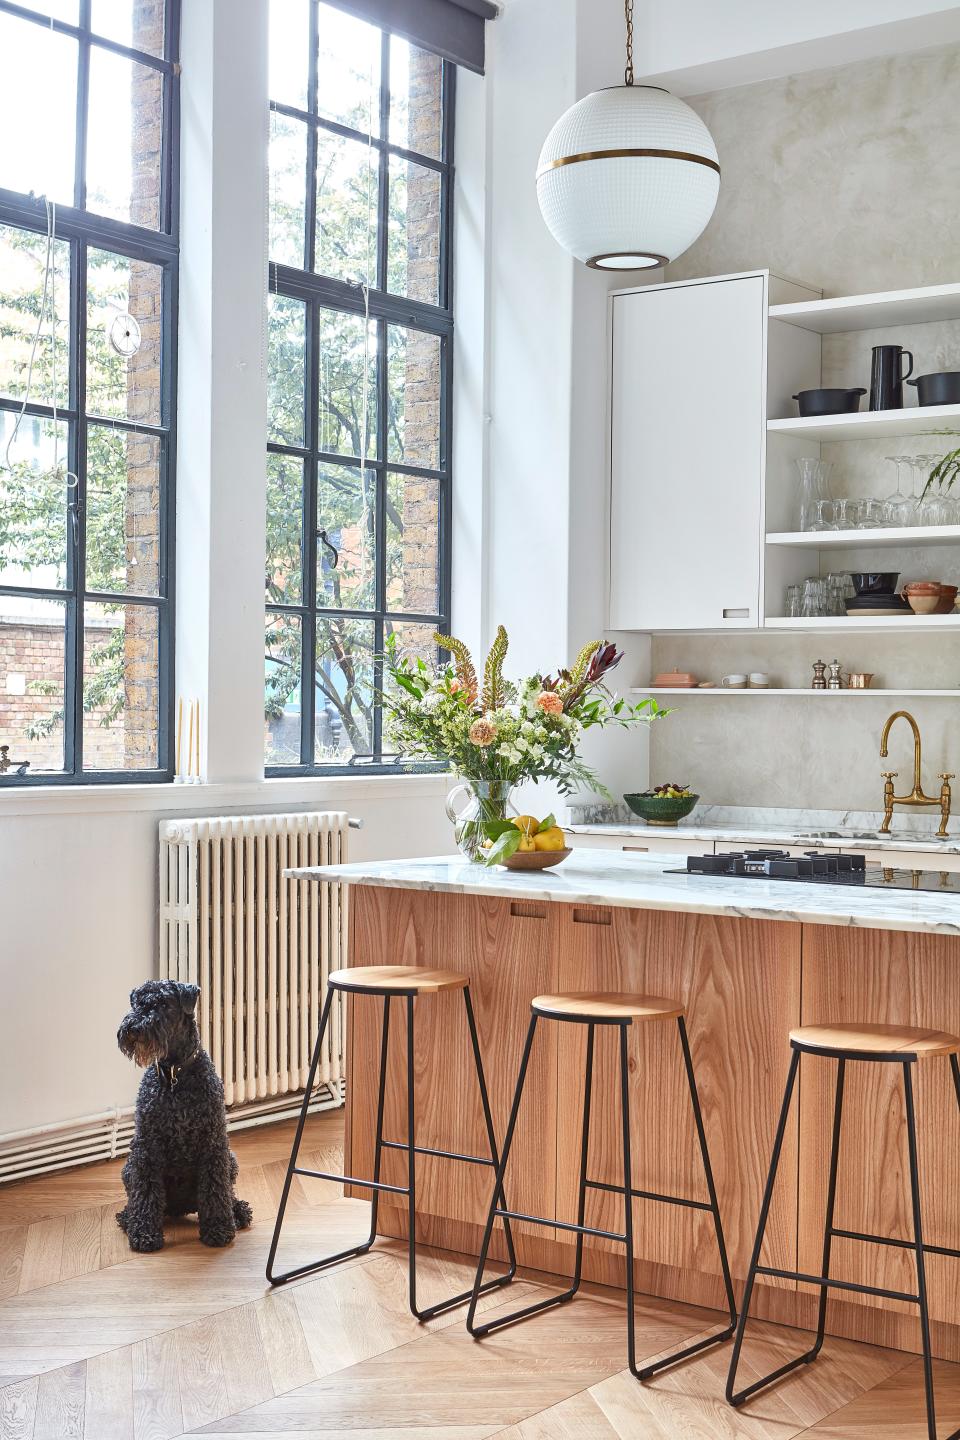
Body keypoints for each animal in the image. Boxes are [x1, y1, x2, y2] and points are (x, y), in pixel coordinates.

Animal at [116, 979, 253, 1249]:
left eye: (164, 1004)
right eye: (138, 1003)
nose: (134, 1028)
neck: (174, 1077)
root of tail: (179, 1208)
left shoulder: (212, 1143)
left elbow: (215, 1189)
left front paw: (219, 1229)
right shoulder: (146, 1147)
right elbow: (146, 1191)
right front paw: (144, 1233)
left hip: (230, 1160)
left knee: (225, 1192)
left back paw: (238, 1211)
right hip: (129, 1168)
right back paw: (128, 1217)